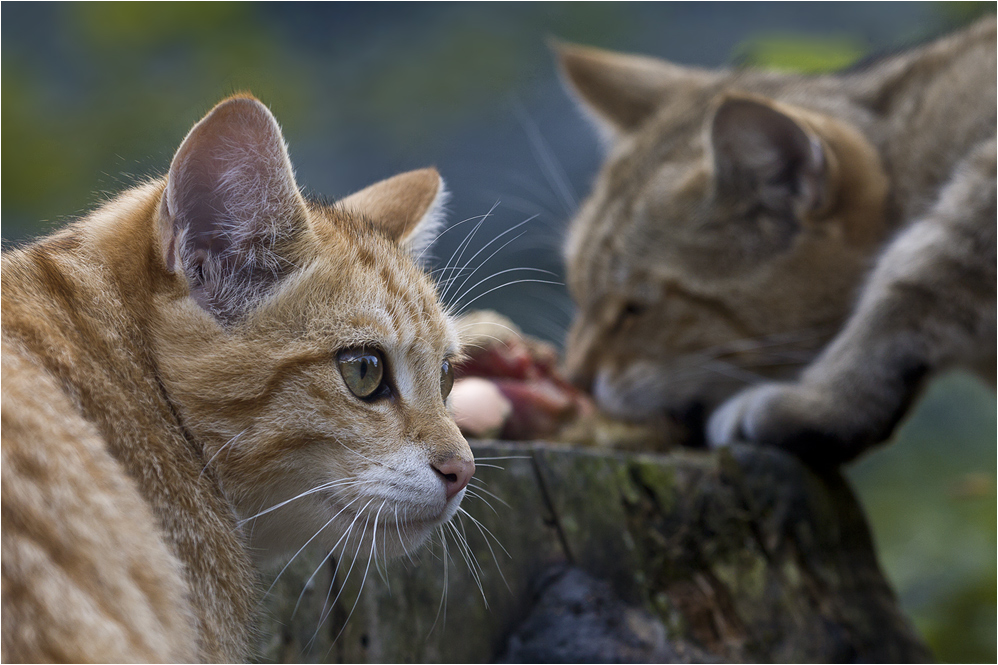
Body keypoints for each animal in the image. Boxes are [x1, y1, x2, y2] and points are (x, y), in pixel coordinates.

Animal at [560, 15, 996, 462]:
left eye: (635, 308)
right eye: (578, 293)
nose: (573, 378)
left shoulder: (980, 196)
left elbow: (899, 306)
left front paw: (817, 406)